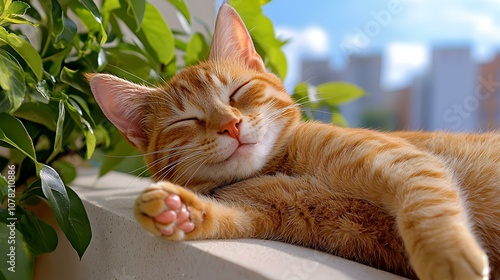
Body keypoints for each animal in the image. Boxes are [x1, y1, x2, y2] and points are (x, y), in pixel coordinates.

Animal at [88, 2, 498, 280]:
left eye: (237, 92)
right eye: (187, 120)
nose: (231, 125)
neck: (279, 166)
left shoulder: (405, 162)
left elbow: (426, 208)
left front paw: (447, 257)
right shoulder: (262, 211)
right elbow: (223, 217)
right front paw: (175, 210)